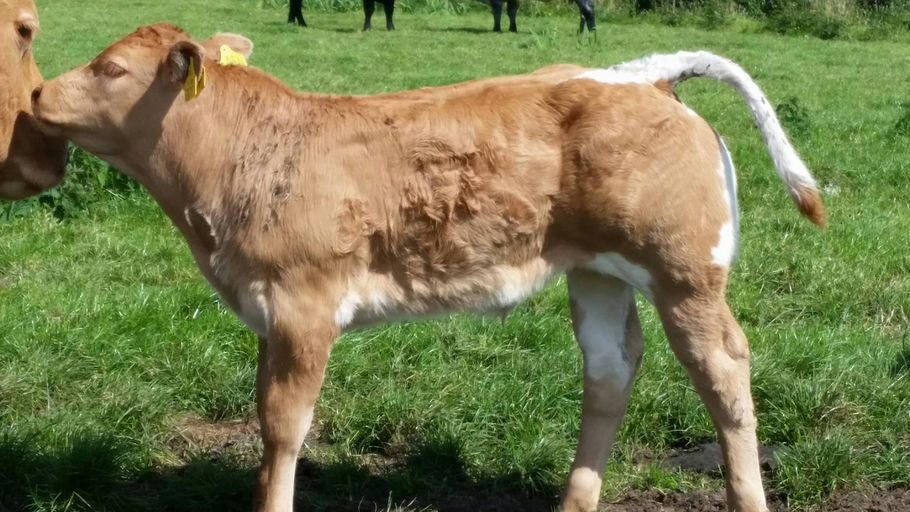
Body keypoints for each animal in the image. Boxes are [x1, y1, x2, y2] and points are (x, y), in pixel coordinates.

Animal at [32, 23, 825, 512]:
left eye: (110, 69)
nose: (34, 93)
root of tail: (635, 77)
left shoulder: (303, 305)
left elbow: (284, 426)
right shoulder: (268, 313)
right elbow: (266, 418)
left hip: (685, 272)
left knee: (724, 370)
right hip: (597, 271)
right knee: (610, 369)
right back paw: (575, 499)